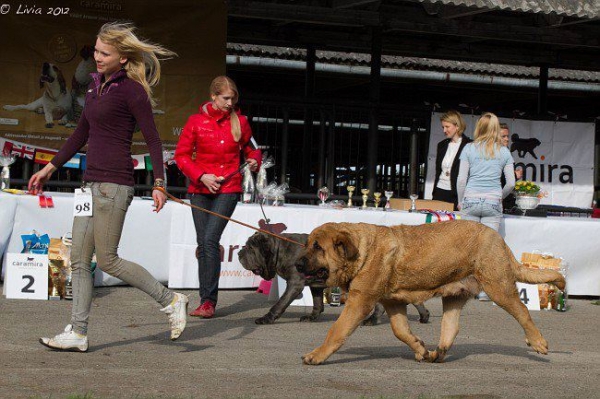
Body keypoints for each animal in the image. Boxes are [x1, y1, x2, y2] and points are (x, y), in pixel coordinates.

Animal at [237, 233, 428, 326]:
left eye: (250, 248)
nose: (239, 252)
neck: (280, 250)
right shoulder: (314, 285)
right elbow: (317, 303)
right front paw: (312, 317)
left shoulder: (295, 284)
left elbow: (280, 304)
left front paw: (266, 319)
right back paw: (424, 316)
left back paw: (372, 320)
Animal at [300, 220, 568, 368]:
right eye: (307, 244)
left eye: (318, 247)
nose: (298, 263)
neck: (361, 253)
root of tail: (497, 238)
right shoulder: (392, 302)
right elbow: (400, 330)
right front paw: (420, 348)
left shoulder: (360, 301)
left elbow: (337, 330)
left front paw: (316, 355)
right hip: (455, 295)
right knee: (451, 326)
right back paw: (437, 353)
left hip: (498, 287)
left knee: (522, 311)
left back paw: (538, 342)